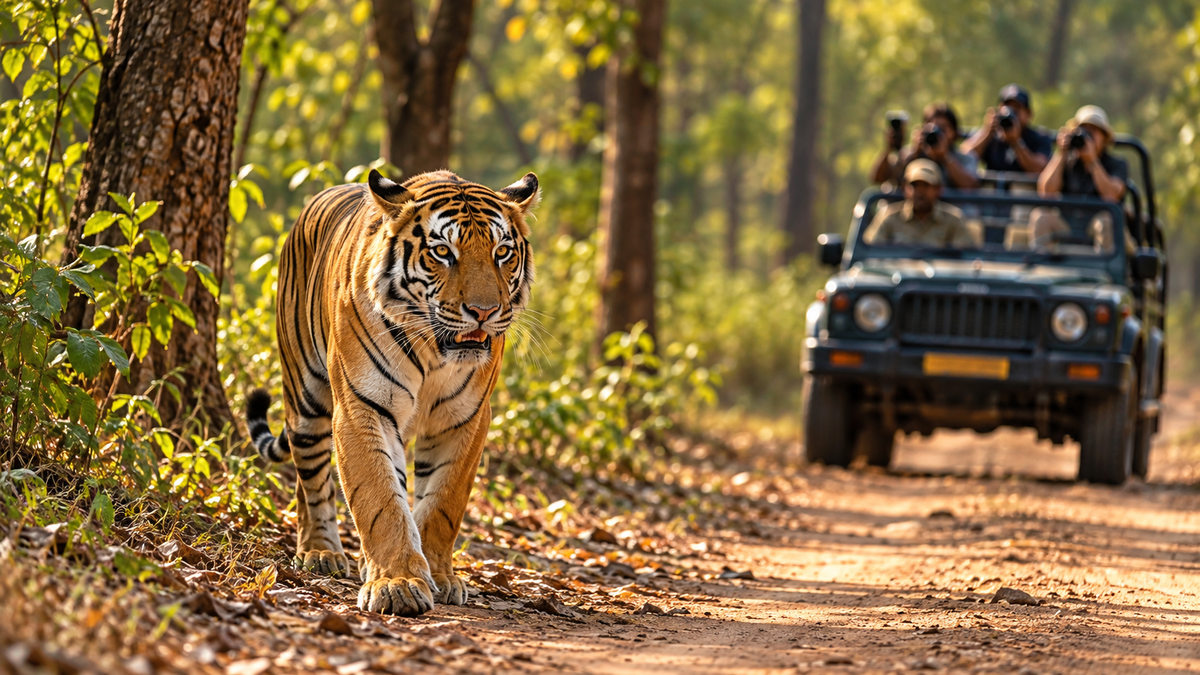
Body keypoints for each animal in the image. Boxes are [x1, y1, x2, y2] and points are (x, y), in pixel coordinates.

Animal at [245, 168, 538, 616]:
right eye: (442, 252)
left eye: (502, 252)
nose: (483, 312)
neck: (436, 350)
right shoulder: (362, 406)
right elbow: (380, 498)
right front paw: (397, 583)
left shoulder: (466, 417)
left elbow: (442, 502)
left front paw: (438, 575)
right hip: (306, 398)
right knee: (310, 478)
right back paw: (320, 552)